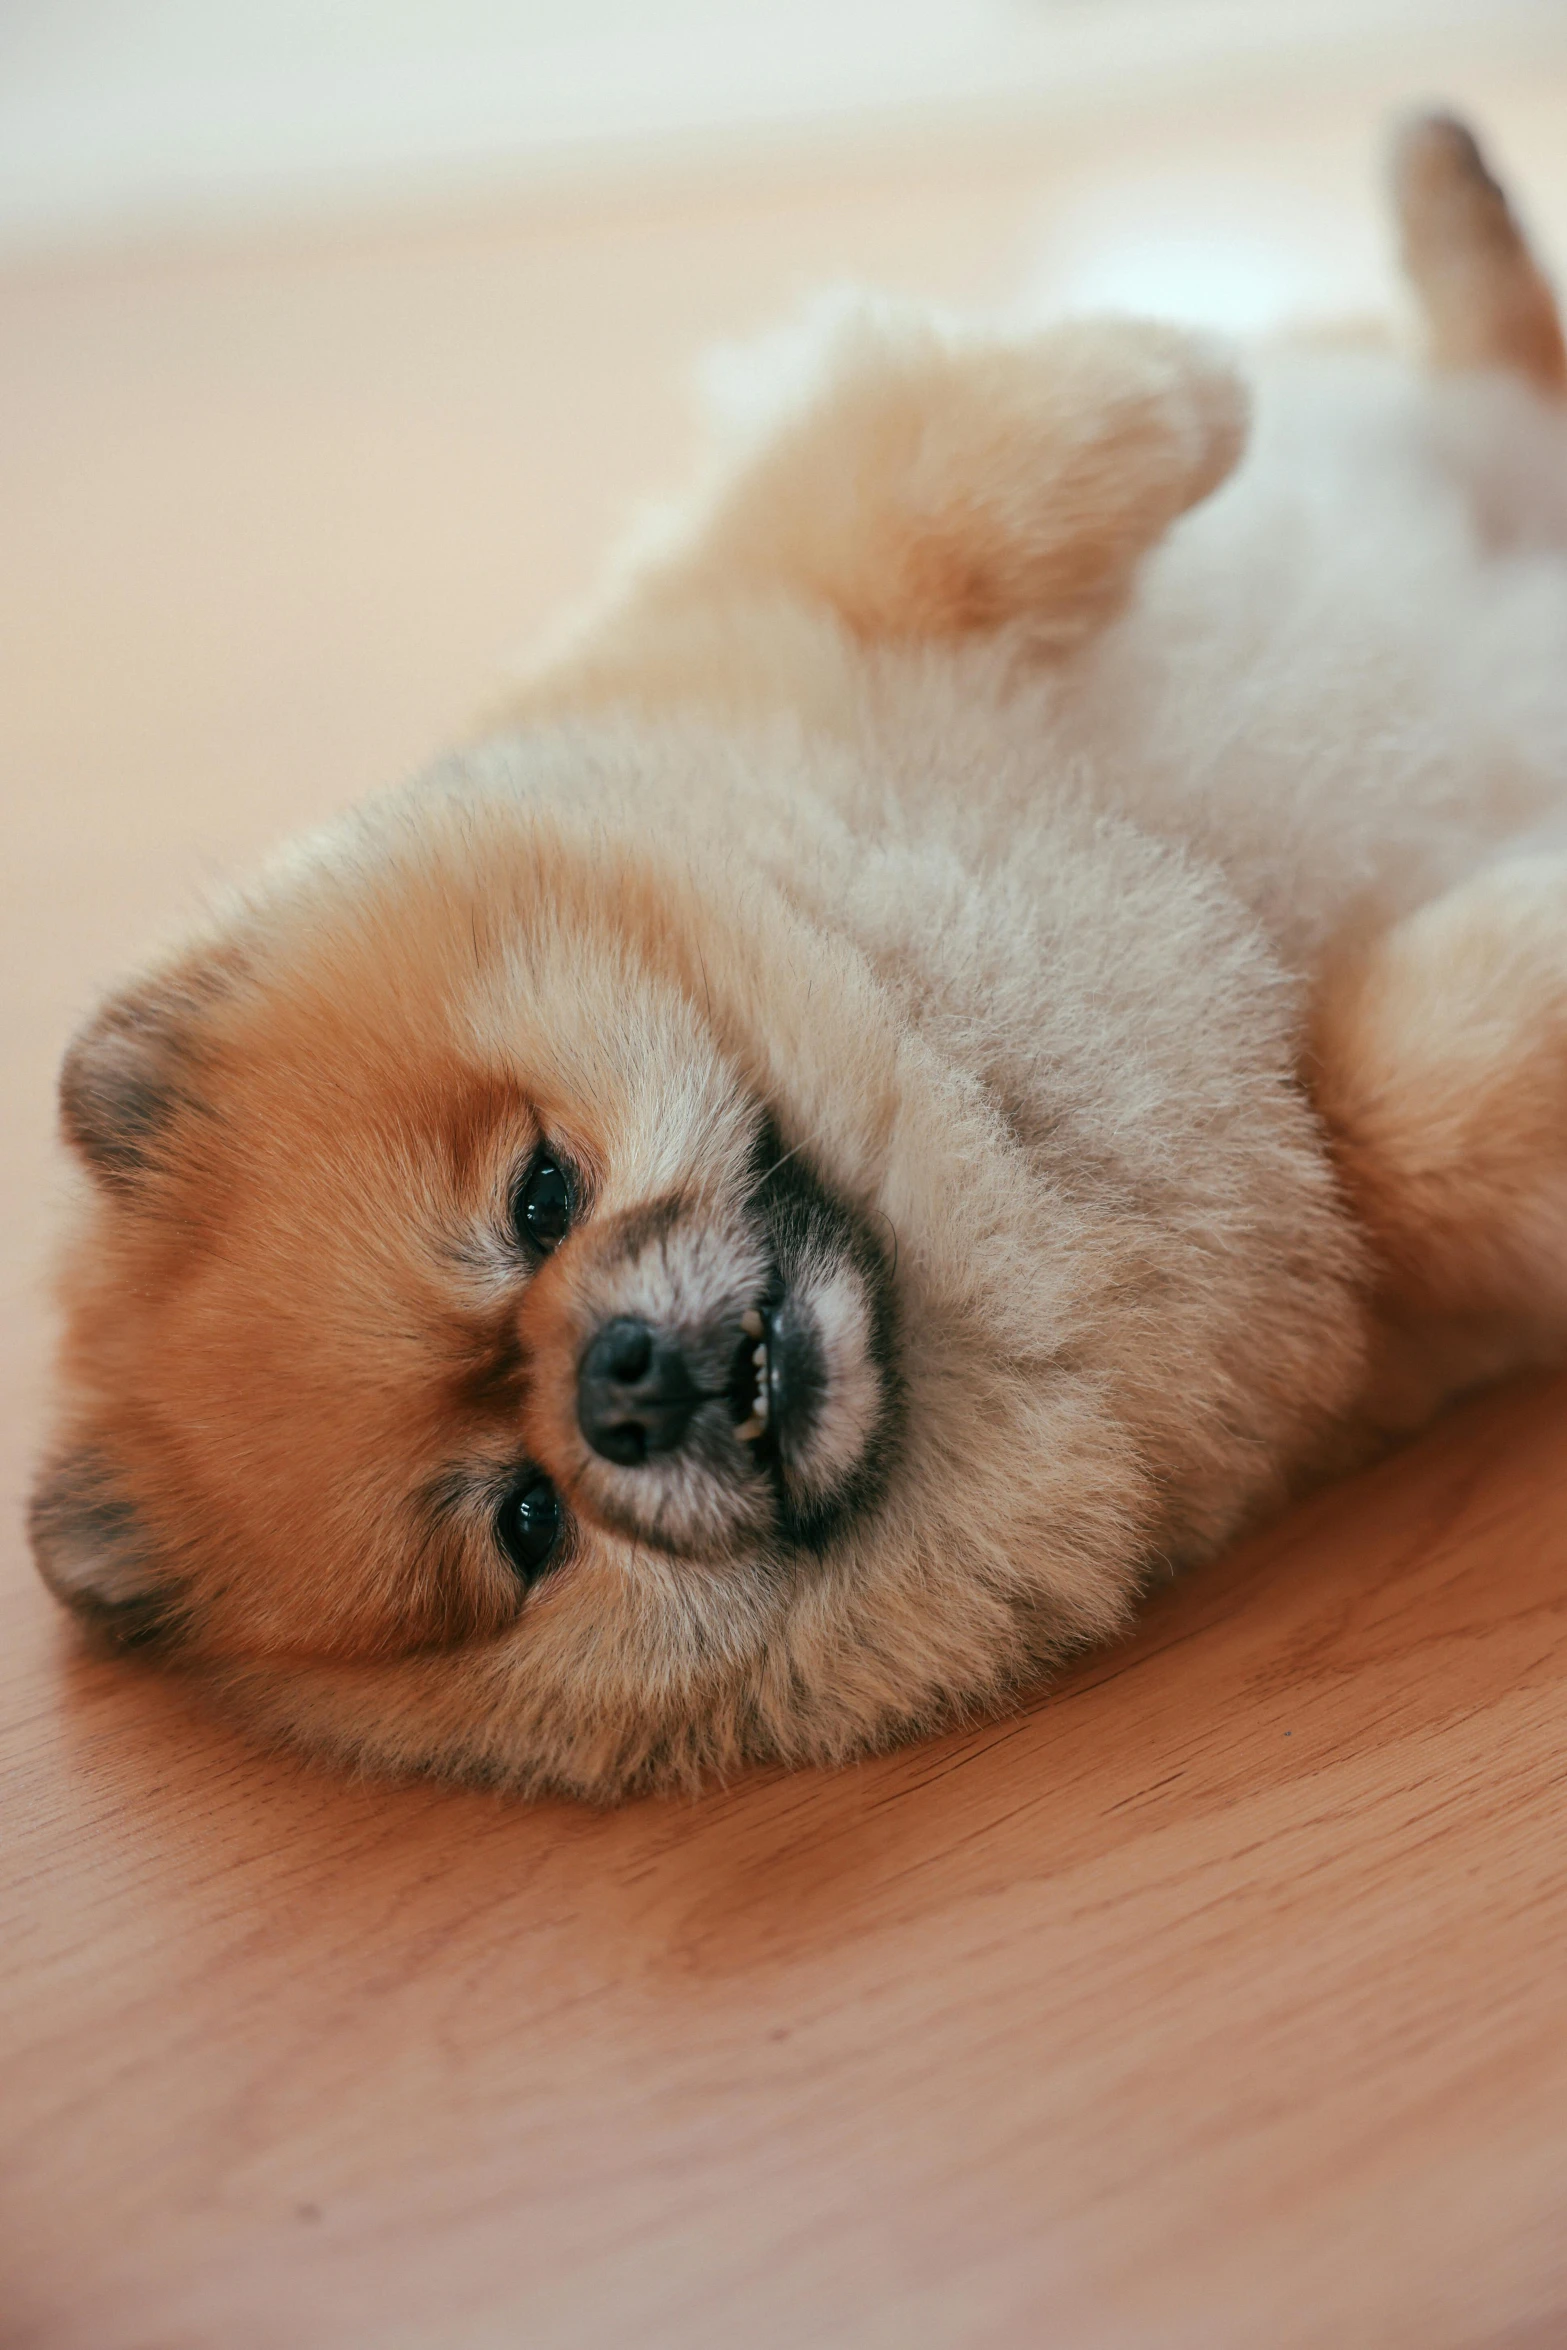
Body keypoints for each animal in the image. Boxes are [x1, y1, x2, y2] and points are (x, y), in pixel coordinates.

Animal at [27, 114, 1567, 1795]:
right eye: (526, 1520)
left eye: (537, 1195)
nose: (620, 1379)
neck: (957, 1079)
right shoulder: (1361, 1279)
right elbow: (1384, 1115)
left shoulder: (777, 578)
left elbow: (955, 481)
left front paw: (1188, 377)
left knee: (1502, 365)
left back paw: (1435, 187)